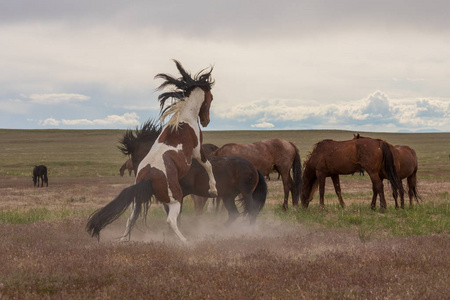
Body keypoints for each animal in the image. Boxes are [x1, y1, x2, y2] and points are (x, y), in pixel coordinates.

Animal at [86, 59, 218, 243]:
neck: (183, 119)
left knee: (131, 218)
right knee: (171, 220)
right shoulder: (197, 150)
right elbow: (208, 166)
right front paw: (213, 189)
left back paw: (123, 240)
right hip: (175, 199)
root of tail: (148, 177)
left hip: (138, 201)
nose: (206, 121)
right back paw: (185, 241)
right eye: (211, 97)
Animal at [118, 119, 268, 225]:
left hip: (246, 193)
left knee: (251, 212)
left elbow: (176, 216)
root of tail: (253, 167)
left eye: (136, 158)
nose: (140, 177)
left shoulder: (179, 195)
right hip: (228, 196)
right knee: (234, 214)